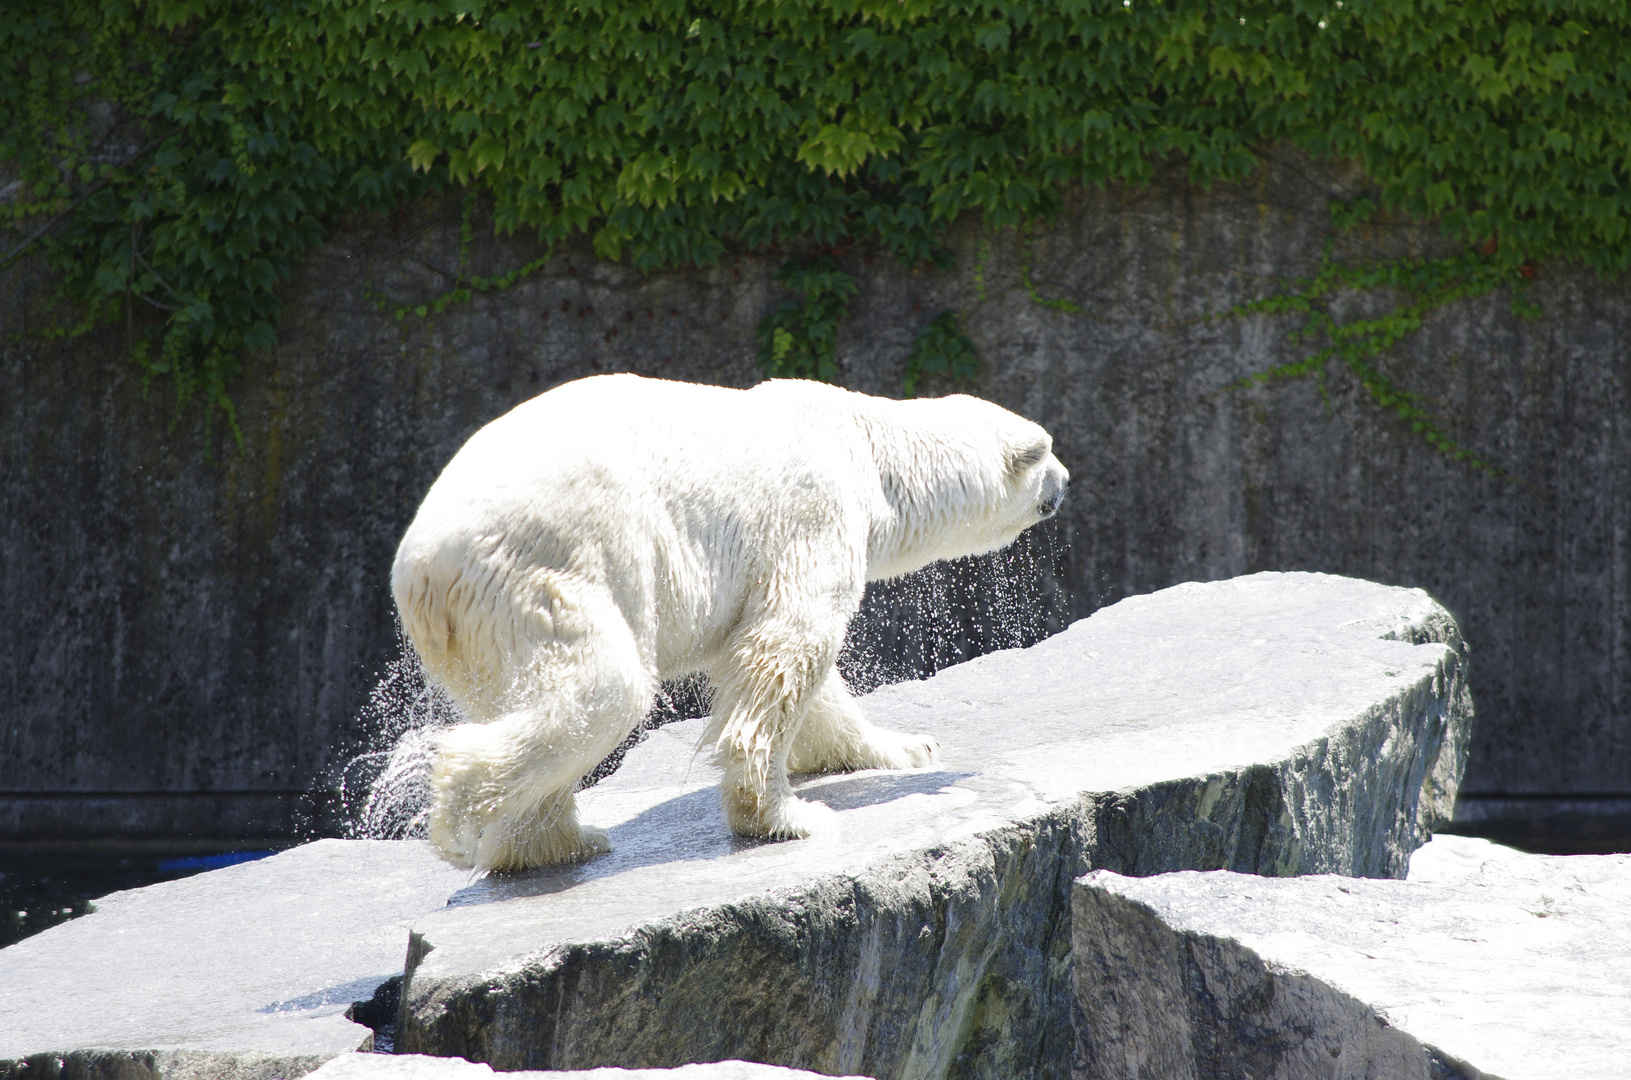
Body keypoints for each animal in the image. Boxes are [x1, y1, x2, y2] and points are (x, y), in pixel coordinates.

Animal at [389, 376, 1063, 874]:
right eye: (1048, 451)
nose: (1067, 482)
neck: (867, 448)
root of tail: (421, 567)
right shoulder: (812, 515)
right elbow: (788, 646)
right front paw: (786, 817)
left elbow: (792, 674)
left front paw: (908, 746)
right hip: (553, 570)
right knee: (602, 690)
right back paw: (461, 819)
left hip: (483, 632)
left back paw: (556, 844)